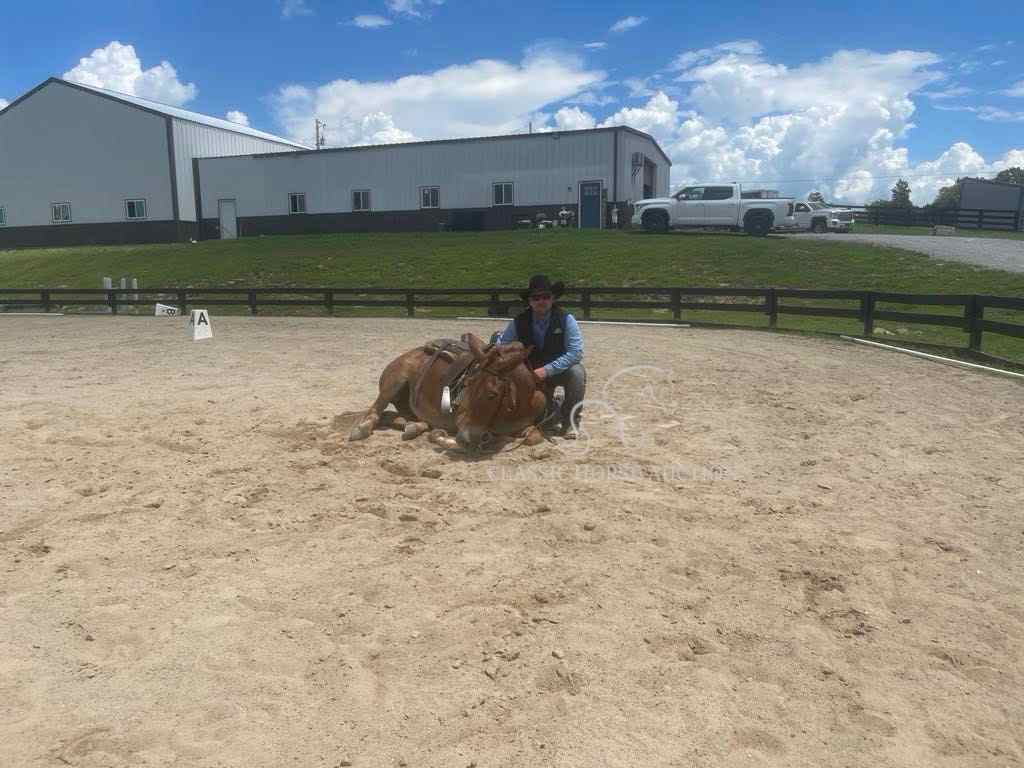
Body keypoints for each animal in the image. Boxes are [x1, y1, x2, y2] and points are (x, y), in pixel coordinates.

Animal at [347, 333, 547, 451]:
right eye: (466, 384)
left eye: (493, 394)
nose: (465, 439)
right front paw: (444, 438)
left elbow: (533, 438)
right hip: (393, 383)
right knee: (375, 411)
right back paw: (361, 429)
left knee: (393, 416)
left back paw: (412, 426)